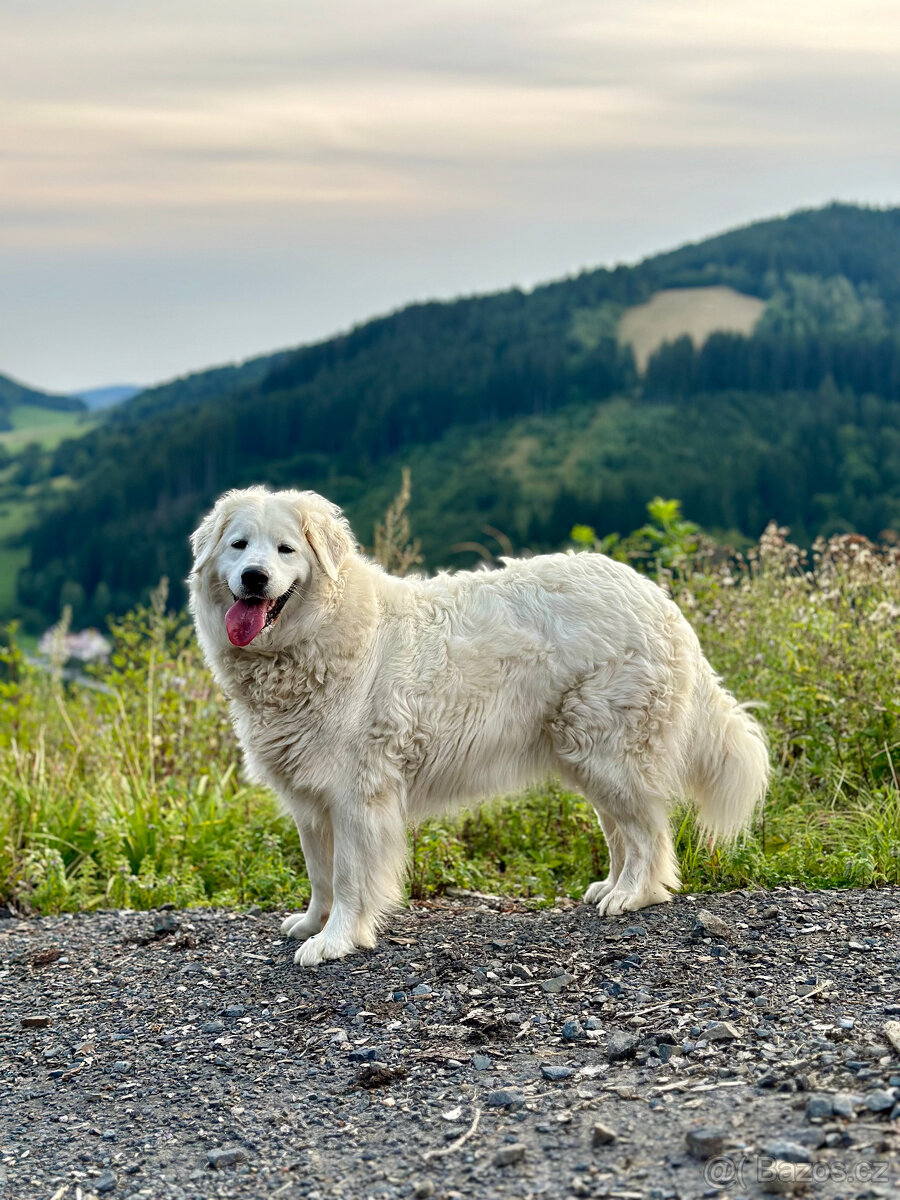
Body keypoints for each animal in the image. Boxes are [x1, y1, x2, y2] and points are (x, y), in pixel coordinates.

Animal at [190, 487, 768, 964]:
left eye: (286, 550)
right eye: (240, 545)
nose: (254, 577)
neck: (315, 637)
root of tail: (657, 598)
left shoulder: (357, 794)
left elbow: (350, 877)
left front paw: (334, 941)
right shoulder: (310, 798)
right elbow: (320, 874)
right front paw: (313, 923)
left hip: (610, 751)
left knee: (649, 834)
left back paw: (633, 895)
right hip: (586, 755)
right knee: (623, 830)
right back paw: (610, 886)